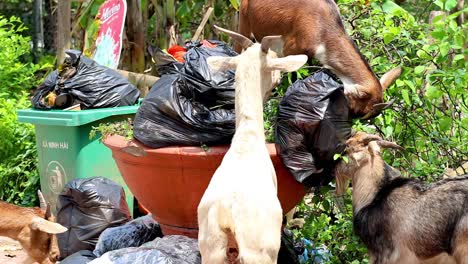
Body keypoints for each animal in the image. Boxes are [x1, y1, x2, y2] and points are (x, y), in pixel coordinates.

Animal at [238, 0, 402, 118]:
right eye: (359, 111)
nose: (348, 119)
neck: (323, 30)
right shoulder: (290, 47)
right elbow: (292, 74)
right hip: (244, 21)